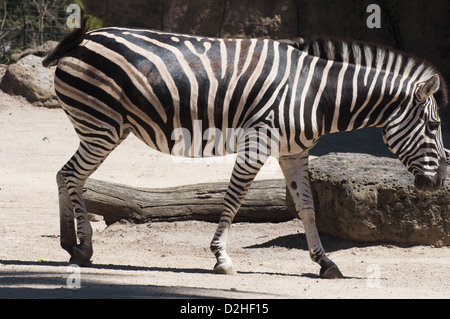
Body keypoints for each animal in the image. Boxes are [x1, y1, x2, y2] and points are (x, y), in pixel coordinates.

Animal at [43, 23, 446, 280]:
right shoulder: (258, 141)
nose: (440, 181)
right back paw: (83, 248)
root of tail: (82, 38)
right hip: (102, 126)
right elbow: (234, 199)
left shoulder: (293, 152)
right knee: (71, 176)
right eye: (434, 126)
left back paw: (70, 244)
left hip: (104, 128)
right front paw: (221, 258)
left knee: (65, 175)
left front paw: (325, 263)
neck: (316, 94)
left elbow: (308, 208)